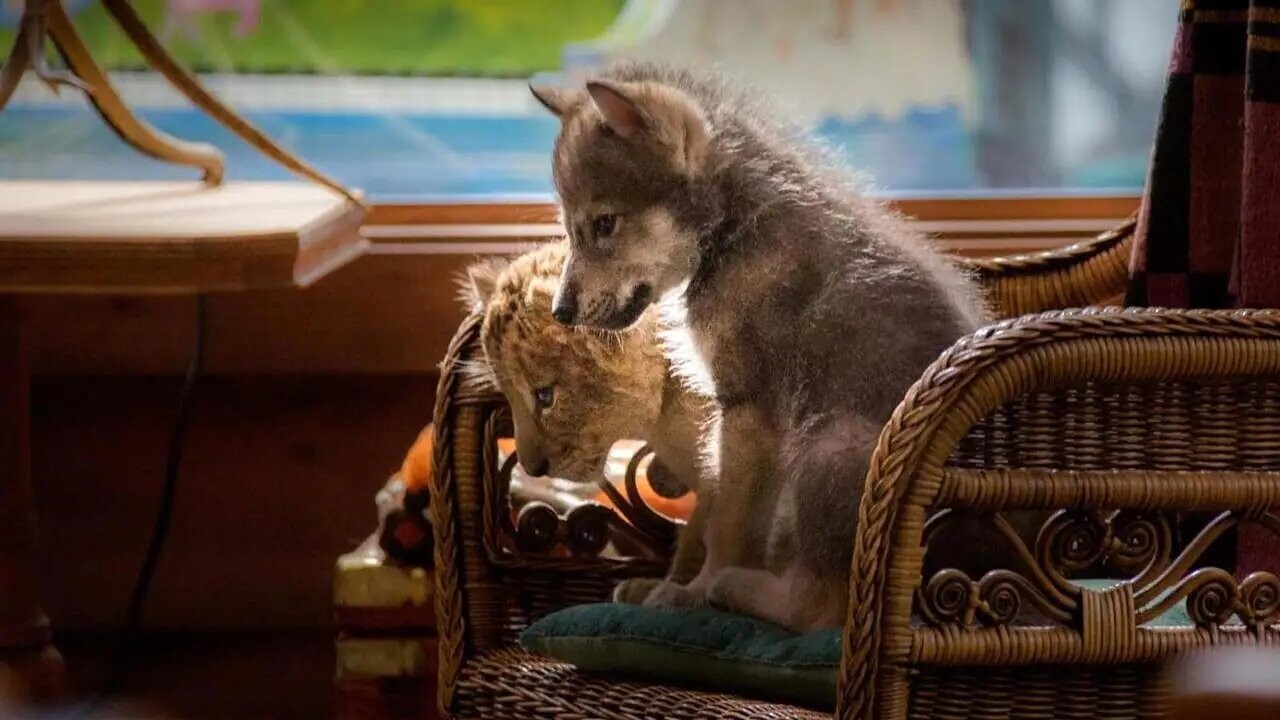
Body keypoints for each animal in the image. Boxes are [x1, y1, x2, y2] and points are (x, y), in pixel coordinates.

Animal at [531, 63, 989, 631]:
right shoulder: (728, 422)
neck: (731, 232)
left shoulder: (749, 413)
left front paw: (691, 592)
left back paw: (736, 589)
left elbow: (728, 527)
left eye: (604, 224)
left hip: (827, 449)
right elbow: (710, 516)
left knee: (819, 610)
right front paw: (661, 587)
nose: (560, 312)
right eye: (570, 229)